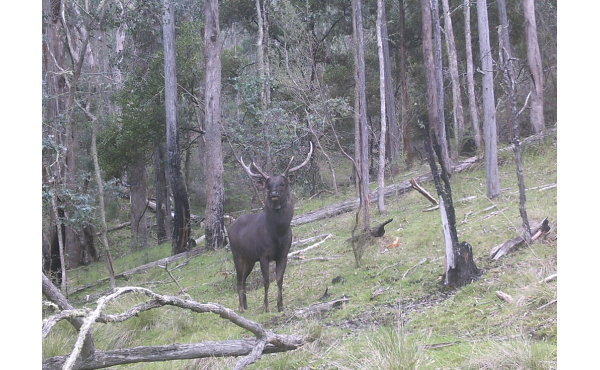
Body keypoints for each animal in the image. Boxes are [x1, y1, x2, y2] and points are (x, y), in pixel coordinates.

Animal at [229, 142, 314, 312]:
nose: (274, 193)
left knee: (244, 280)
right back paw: (241, 307)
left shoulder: (283, 254)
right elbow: (267, 281)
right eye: (268, 185)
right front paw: (266, 307)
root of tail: (228, 227)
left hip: (249, 258)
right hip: (237, 254)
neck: (278, 233)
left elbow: (280, 280)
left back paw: (246, 306)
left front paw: (280, 306)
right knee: (239, 280)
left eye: (283, 183)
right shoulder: (263, 254)